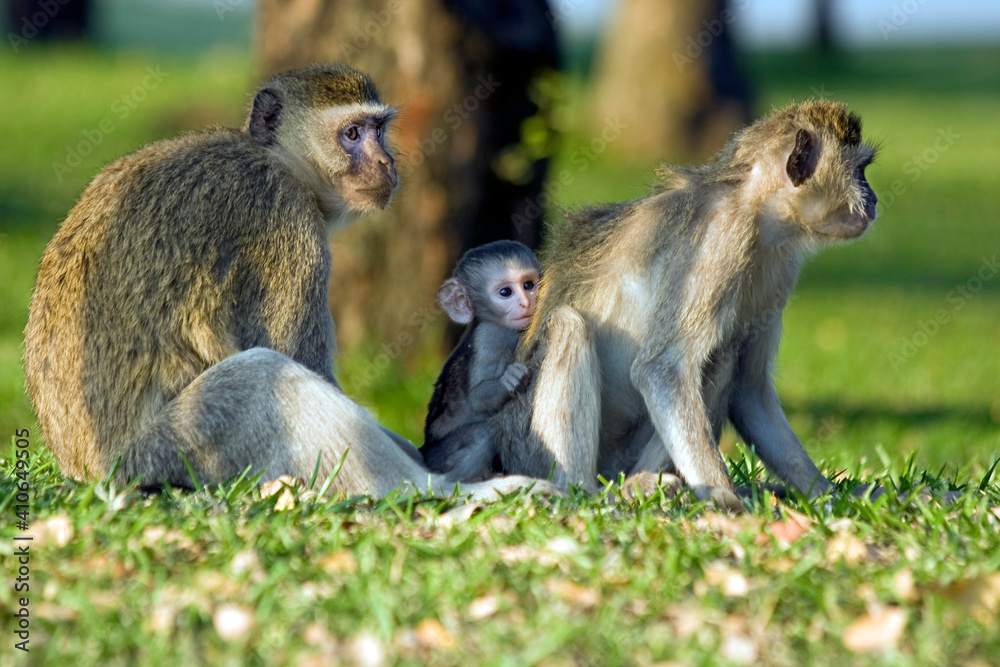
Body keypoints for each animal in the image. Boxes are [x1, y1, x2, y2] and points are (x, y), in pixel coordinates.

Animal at [424, 240, 544, 480]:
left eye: (528, 285)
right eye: (505, 292)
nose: (526, 303)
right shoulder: (488, 338)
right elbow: (479, 398)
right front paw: (512, 378)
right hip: (439, 455)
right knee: (482, 434)